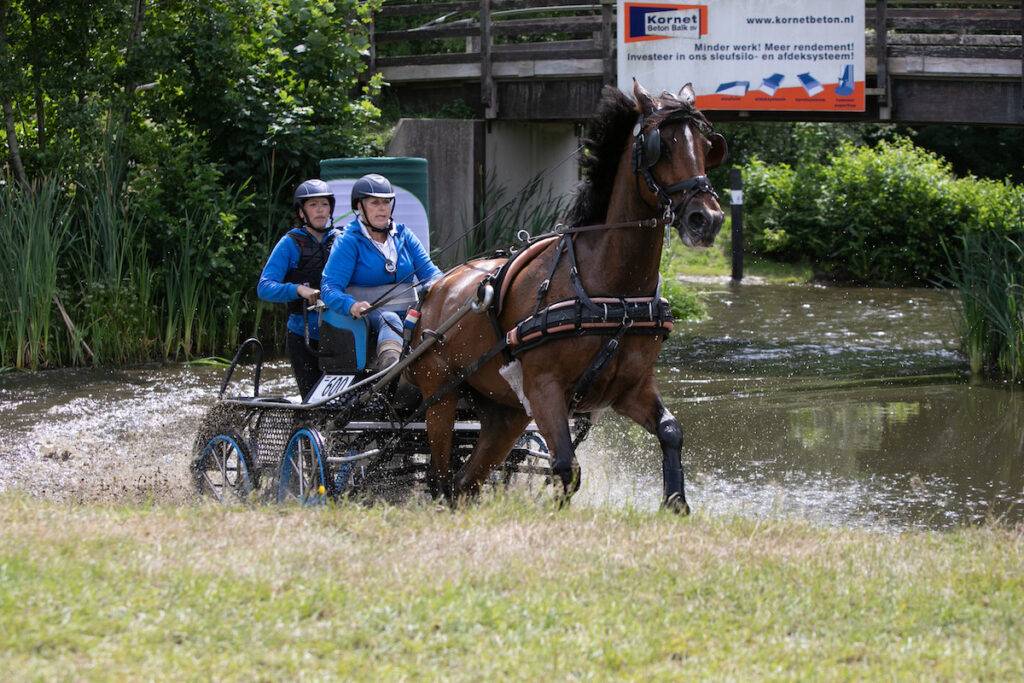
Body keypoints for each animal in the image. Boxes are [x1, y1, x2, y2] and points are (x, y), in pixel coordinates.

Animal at [406, 80, 726, 513]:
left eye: (707, 145)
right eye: (663, 145)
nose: (707, 219)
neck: (610, 291)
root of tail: (433, 292)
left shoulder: (630, 388)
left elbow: (671, 431)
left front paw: (675, 504)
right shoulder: (544, 388)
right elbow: (565, 466)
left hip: (505, 413)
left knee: (464, 482)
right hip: (441, 400)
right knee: (440, 479)